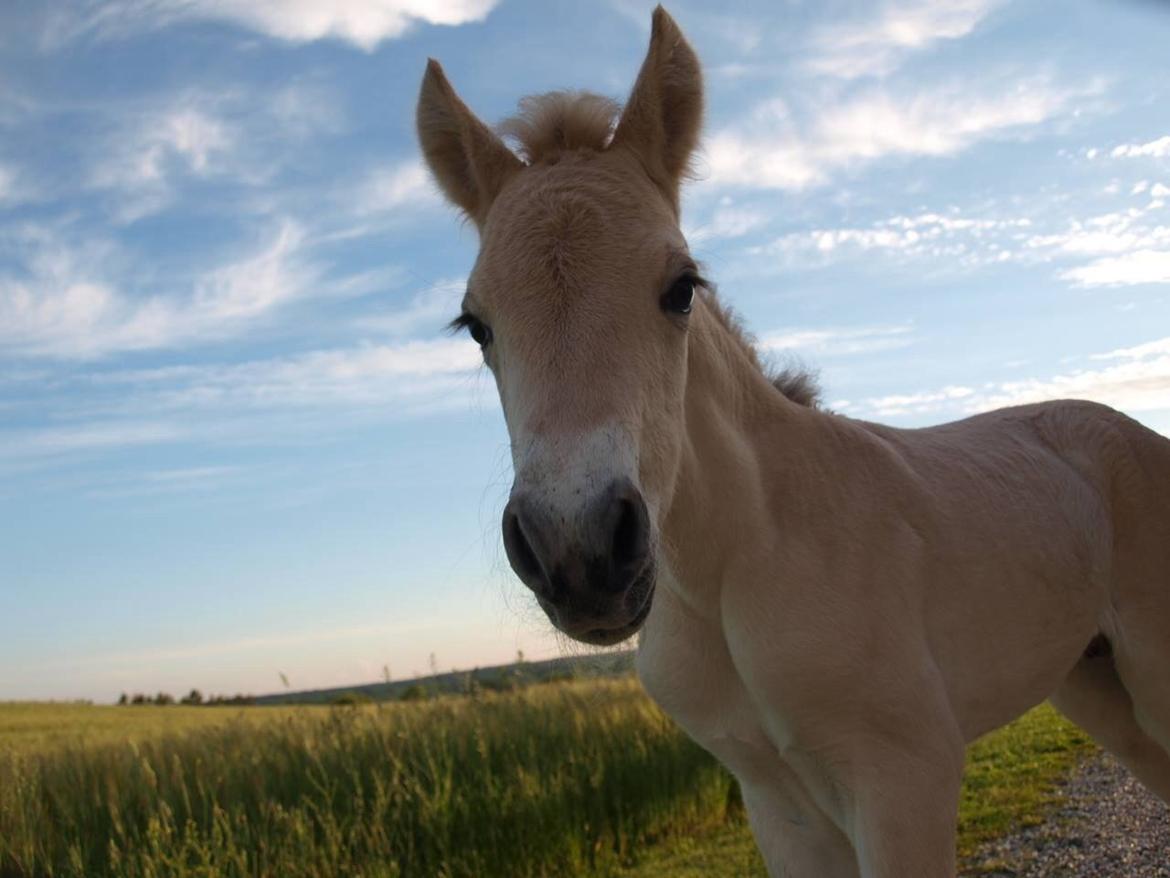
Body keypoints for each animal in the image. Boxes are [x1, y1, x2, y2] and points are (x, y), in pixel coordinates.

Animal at [418, 8, 1170, 878]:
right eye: (477, 324)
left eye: (681, 288)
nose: (580, 553)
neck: (745, 553)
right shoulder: (778, 805)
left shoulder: (904, 779)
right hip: (1095, 685)